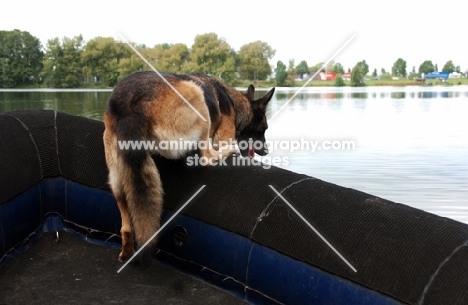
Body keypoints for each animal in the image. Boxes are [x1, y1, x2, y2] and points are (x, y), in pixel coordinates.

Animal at [102, 70, 274, 260]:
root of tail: (130, 109)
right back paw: (229, 151)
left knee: (124, 223)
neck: (237, 104)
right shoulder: (223, 135)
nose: (267, 151)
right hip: (197, 97)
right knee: (206, 157)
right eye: (264, 128)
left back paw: (126, 252)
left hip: (116, 173)